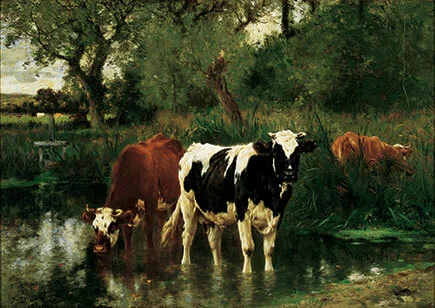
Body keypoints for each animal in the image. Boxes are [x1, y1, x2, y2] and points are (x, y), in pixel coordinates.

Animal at [161, 129, 316, 272]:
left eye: (298, 152)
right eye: (275, 152)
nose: (288, 174)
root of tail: (193, 147)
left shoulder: (278, 215)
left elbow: (269, 250)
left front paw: (269, 273)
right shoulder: (242, 213)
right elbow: (248, 248)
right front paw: (247, 274)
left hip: (212, 213)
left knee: (214, 242)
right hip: (188, 205)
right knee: (187, 237)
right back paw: (185, 265)